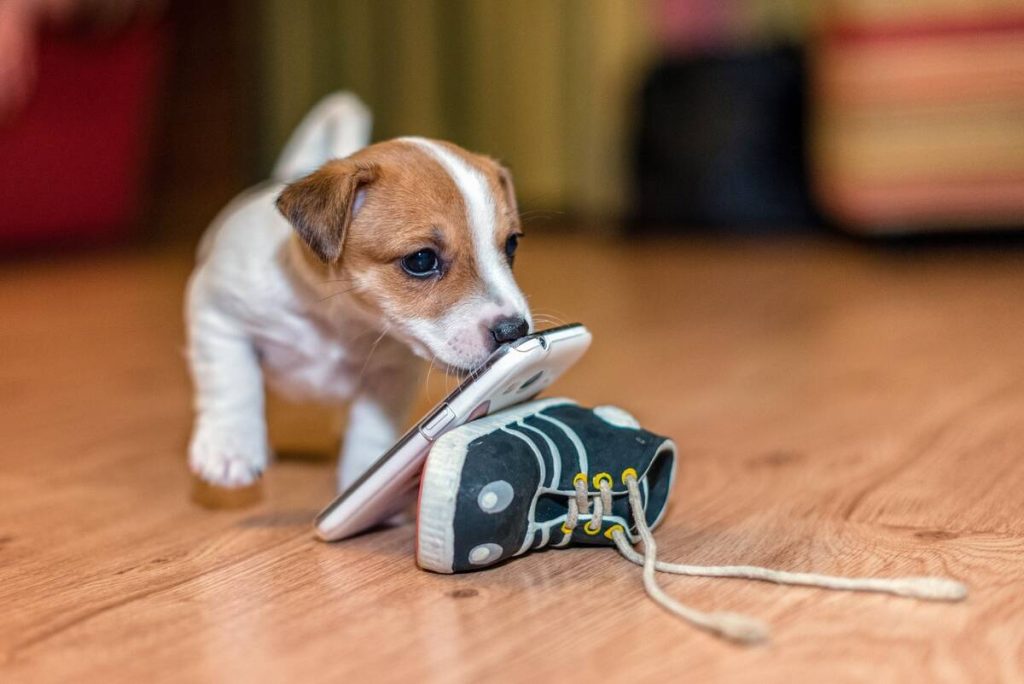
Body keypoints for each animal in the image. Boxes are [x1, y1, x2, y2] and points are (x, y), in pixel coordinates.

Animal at [184, 94, 532, 491]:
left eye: (511, 244)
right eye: (421, 259)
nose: (514, 331)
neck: (339, 316)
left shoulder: (391, 374)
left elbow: (370, 429)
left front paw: (367, 472)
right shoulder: (217, 315)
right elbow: (232, 381)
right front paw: (231, 446)